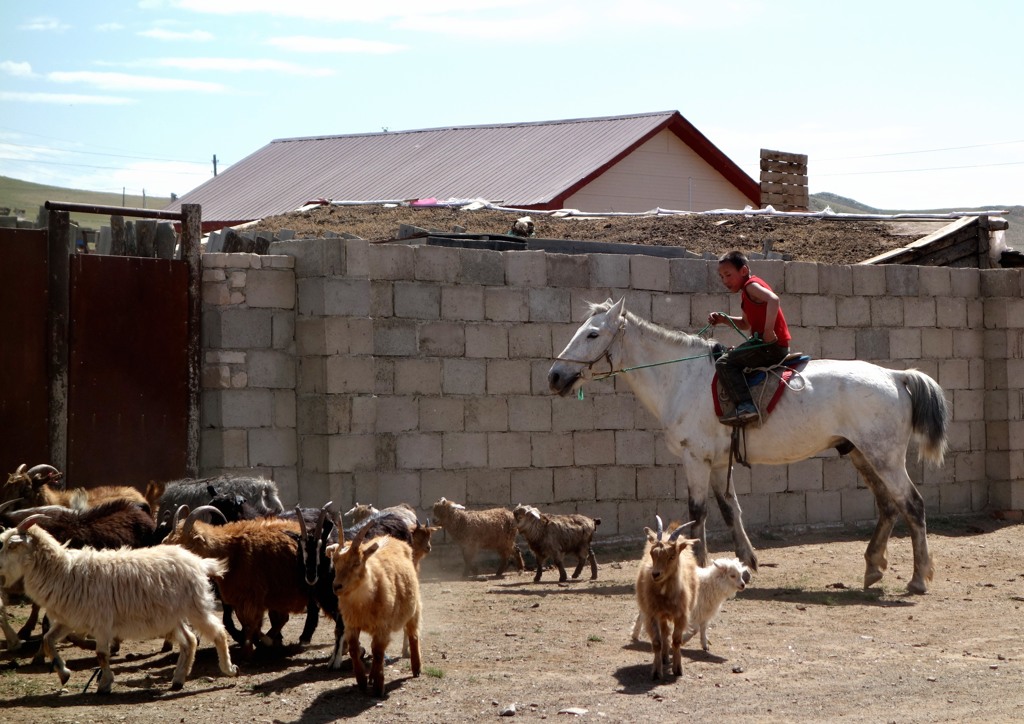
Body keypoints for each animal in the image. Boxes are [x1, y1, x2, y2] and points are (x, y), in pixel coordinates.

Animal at [0, 512, 234, 692]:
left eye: (11, 546)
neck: (64, 571)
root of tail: (198, 561)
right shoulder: (69, 620)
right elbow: (48, 640)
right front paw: (64, 673)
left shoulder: (102, 622)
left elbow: (102, 655)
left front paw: (104, 684)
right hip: (171, 616)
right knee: (189, 641)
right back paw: (178, 679)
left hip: (196, 607)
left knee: (218, 632)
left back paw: (228, 669)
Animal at [161, 503, 307, 655]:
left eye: (186, 546)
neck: (230, 551)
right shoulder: (240, 599)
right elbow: (248, 623)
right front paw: (256, 642)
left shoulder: (251, 597)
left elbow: (250, 624)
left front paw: (249, 648)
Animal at [329, 520, 421, 696]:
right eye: (335, 562)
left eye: (357, 562)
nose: (337, 586)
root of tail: (391, 538)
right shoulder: (351, 624)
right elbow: (354, 649)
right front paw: (362, 682)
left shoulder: (382, 626)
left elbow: (378, 652)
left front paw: (378, 688)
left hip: (415, 607)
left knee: (413, 635)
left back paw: (416, 669)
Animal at [548, 299, 946, 593]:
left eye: (592, 334)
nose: (554, 376)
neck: (681, 378)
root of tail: (895, 376)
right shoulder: (717, 462)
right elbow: (730, 511)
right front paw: (745, 562)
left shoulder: (695, 459)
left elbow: (697, 513)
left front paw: (699, 565)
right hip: (862, 454)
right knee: (888, 506)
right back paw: (874, 567)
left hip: (885, 458)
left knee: (913, 505)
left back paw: (917, 578)